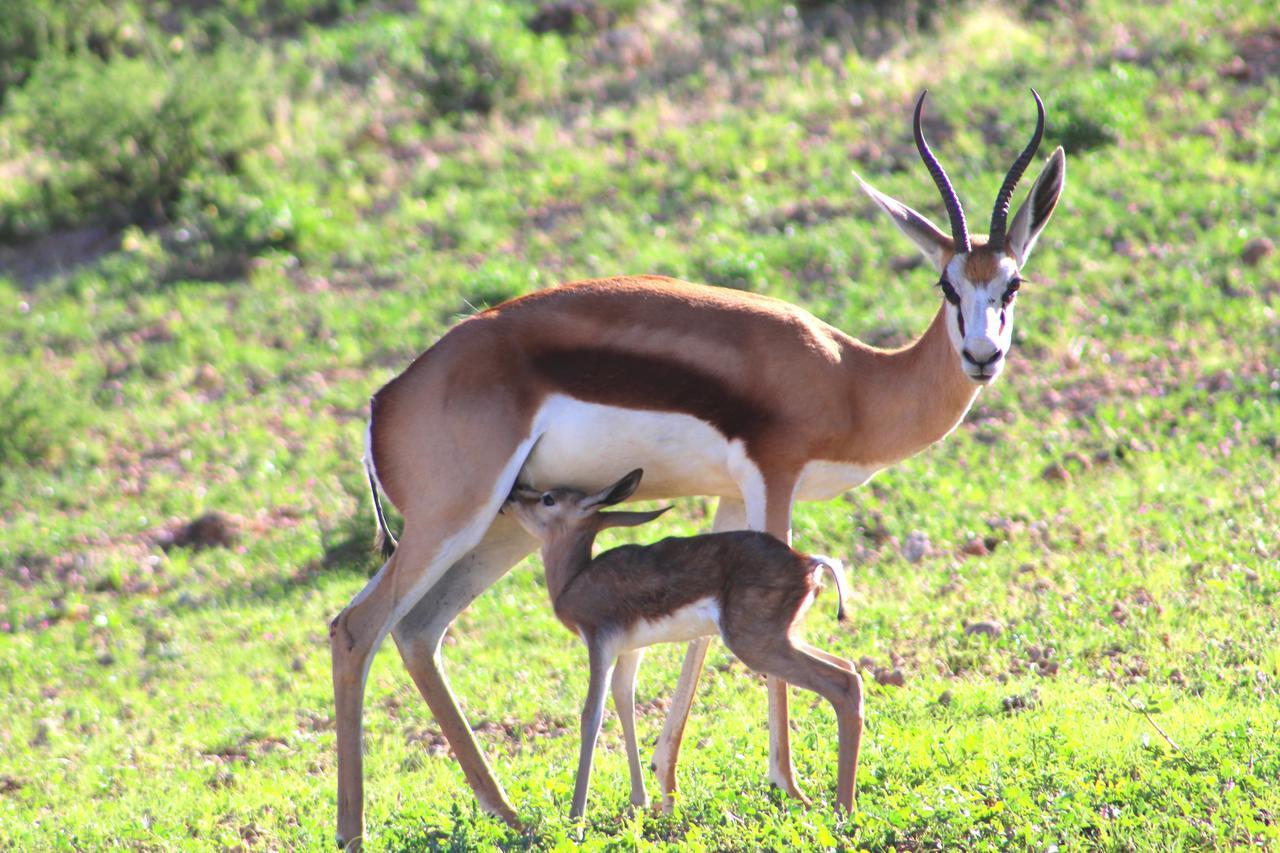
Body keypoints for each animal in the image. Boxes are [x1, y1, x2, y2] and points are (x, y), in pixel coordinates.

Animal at [506, 466, 860, 819]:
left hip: (756, 645)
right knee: (849, 667)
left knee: (842, 683)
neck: (574, 579)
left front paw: (575, 816)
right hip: (781, 638)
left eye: (548, 498)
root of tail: (809, 562)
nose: (511, 496)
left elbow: (591, 717)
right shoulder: (631, 650)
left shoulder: (599, 643)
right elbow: (624, 701)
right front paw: (639, 800)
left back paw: (841, 811)